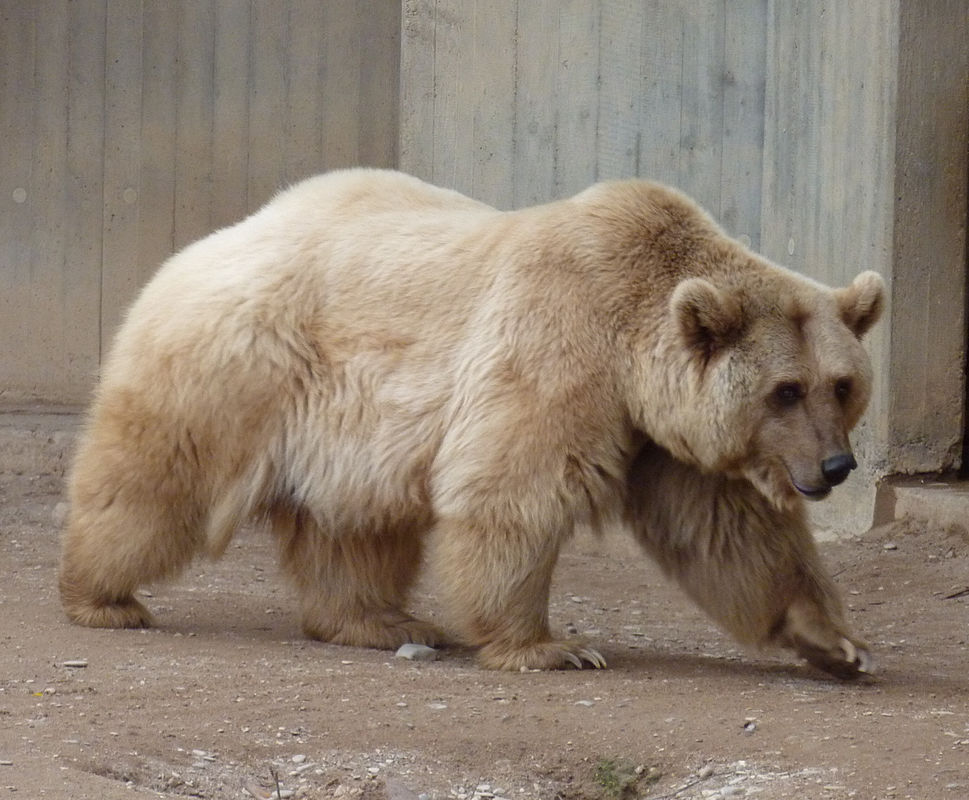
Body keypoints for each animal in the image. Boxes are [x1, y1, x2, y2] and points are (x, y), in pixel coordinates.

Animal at [56, 169, 880, 676]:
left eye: (841, 385)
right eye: (785, 390)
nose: (835, 467)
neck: (632, 344)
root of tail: (204, 242)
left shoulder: (661, 436)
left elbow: (729, 531)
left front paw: (837, 643)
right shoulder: (559, 347)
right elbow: (515, 490)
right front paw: (552, 646)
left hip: (348, 429)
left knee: (353, 527)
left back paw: (381, 620)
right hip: (239, 366)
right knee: (155, 480)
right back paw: (101, 595)